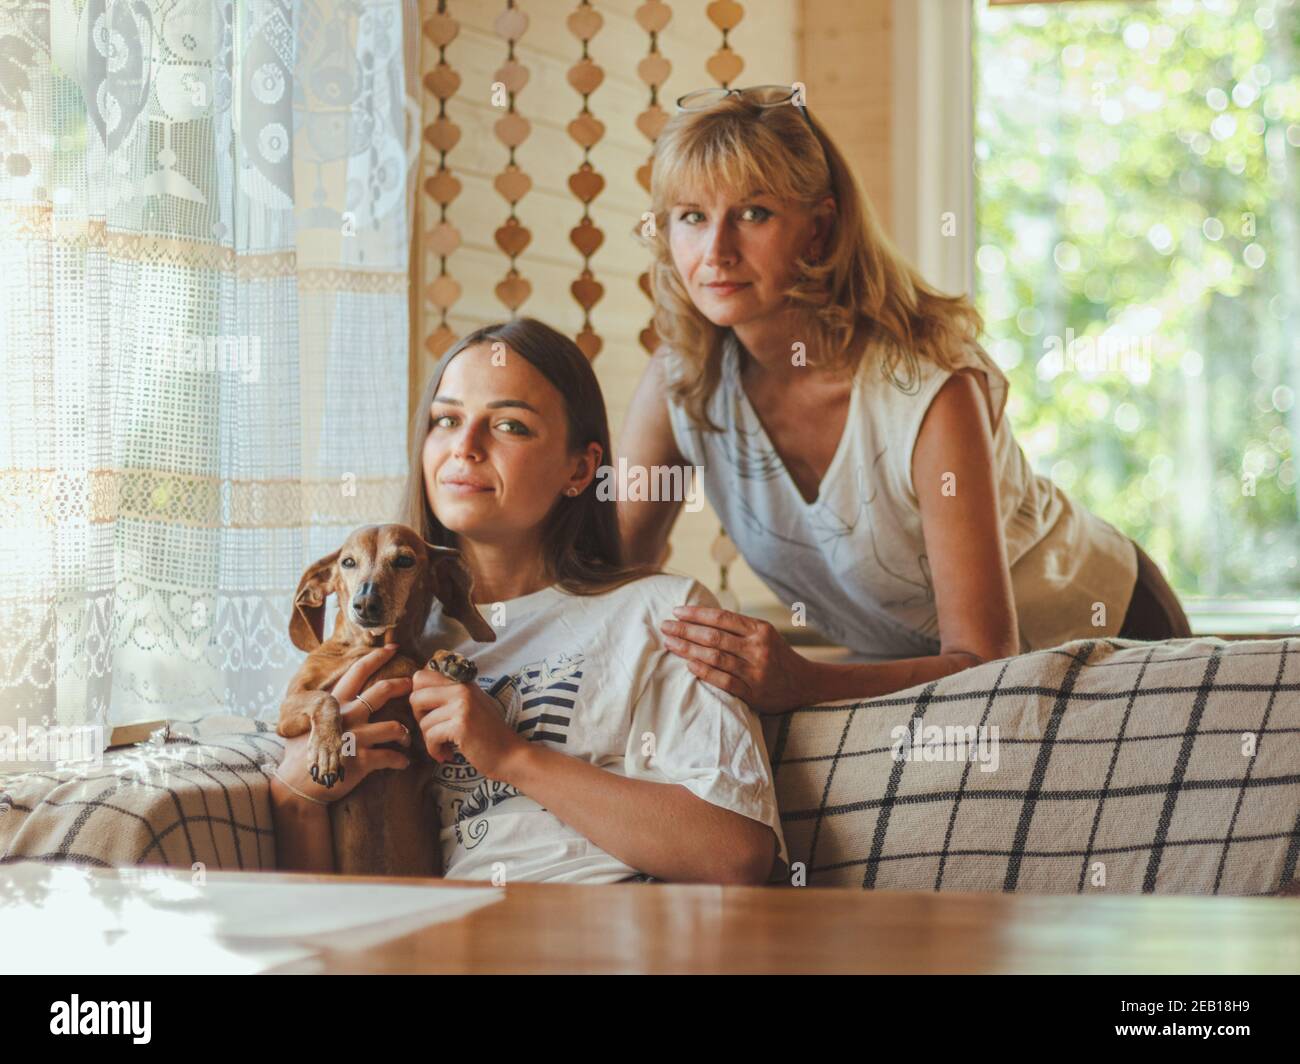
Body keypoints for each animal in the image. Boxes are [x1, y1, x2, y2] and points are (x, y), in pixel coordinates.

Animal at [276, 517, 493, 874]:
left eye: (404, 560)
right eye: (348, 562)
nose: (365, 603)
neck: (371, 647)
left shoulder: (422, 747)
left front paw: (448, 660)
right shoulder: (285, 714)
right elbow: (326, 698)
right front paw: (327, 751)